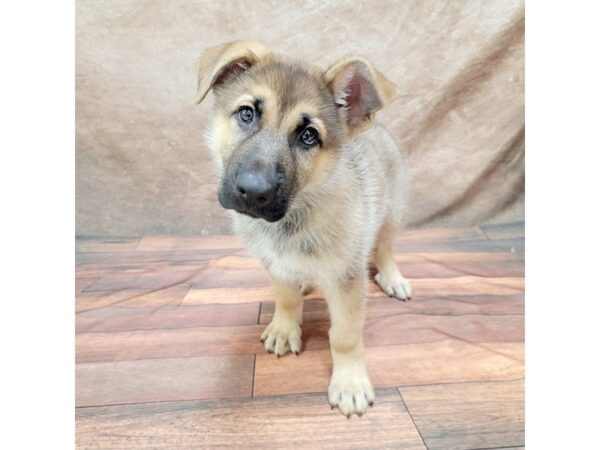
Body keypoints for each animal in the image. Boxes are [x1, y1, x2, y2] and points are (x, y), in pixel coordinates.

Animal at [197, 40, 412, 416]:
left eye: (309, 136)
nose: (253, 192)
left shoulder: (346, 279)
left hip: (392, 212)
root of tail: (378, 127)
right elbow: (285, 298)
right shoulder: (276, 264)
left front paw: (349, 382)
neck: (294, 216)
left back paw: (392, 277)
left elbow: (345, 336)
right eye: (246, 114)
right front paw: (285, 327)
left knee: (385, 247)